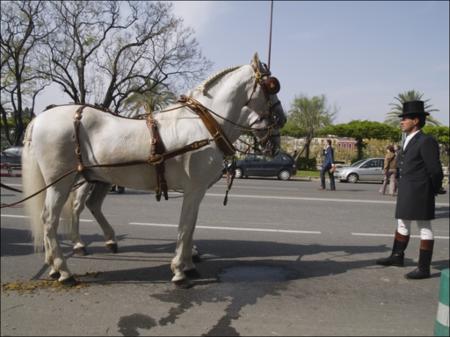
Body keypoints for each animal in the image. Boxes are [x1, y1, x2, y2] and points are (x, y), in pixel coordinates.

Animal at [22, 53, 284, 286]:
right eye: (272, 86)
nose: (282, 119)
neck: (203, 125)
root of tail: (41, 117)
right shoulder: (193, 190)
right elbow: (185, 227)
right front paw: (179, 270)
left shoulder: (196, 192)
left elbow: (191, 227)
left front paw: (189, 263)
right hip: (61, 183)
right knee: (51, 219)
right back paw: (64, 270)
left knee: (80, 209)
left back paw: (58, 264)